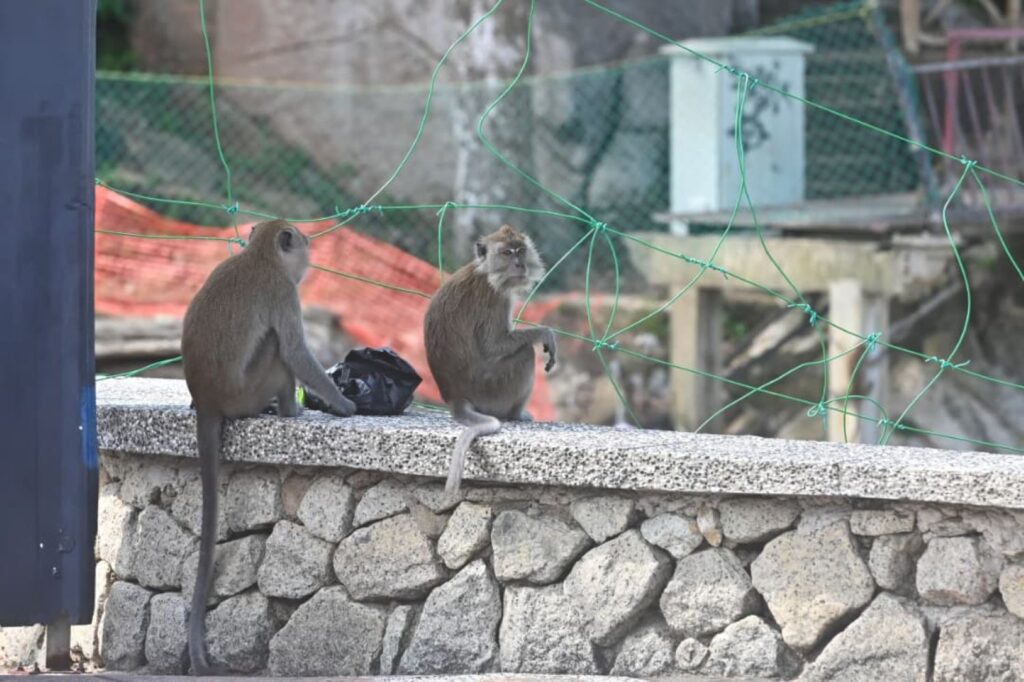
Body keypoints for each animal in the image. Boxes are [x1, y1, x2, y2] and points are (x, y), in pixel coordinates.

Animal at [180, 219, 355, 675]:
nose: (309, 255)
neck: (259, 255)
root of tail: (207, 398)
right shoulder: (284, 292)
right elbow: (294, 350)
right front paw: (343, 403)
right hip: (249, 388)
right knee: (278, 350)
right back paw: (290, 411)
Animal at [424, 224, 556, 497]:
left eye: (521, 250)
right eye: (507, 252)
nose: (519, 264)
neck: (484, 271)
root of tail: (455, 397)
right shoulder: (495, 297)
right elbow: (493, 345)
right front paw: (544, 332)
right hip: (493, 392)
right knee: (525, 354)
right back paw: (516, 414)